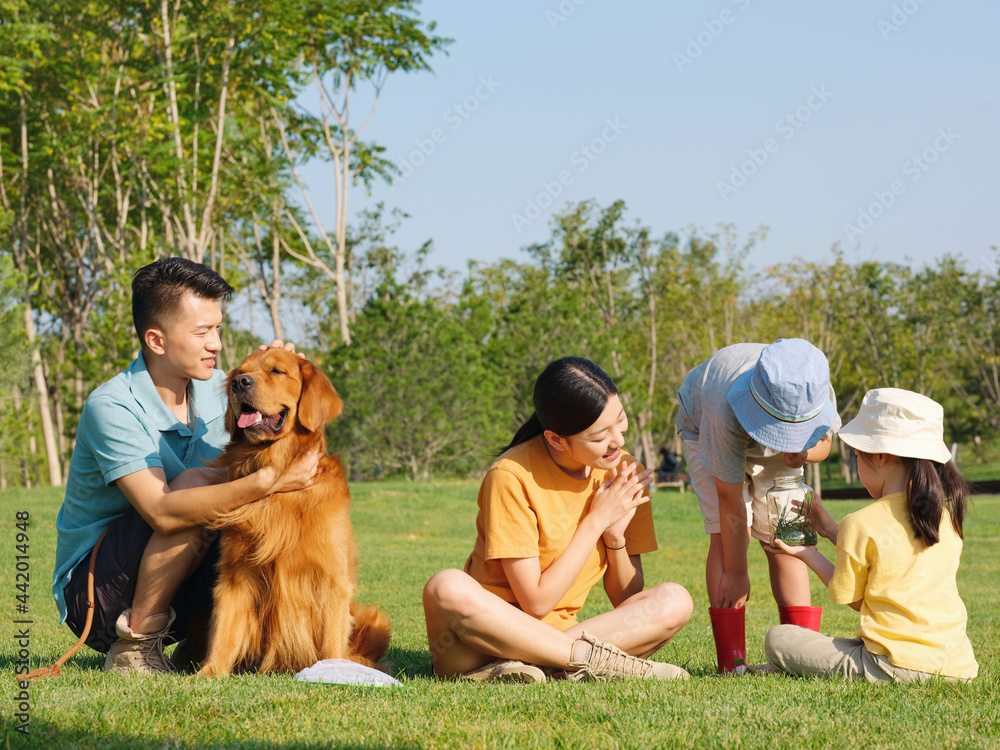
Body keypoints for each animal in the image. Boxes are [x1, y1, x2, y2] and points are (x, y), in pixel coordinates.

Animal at [196, 350, 390, 680]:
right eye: (240, 371)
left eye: (276, 371)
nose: (239, 383)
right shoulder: (235, 574)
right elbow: (224, 631)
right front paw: (208, 672)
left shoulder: (332, 578)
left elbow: (332, 642)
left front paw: (334, 673)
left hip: (376, 621)